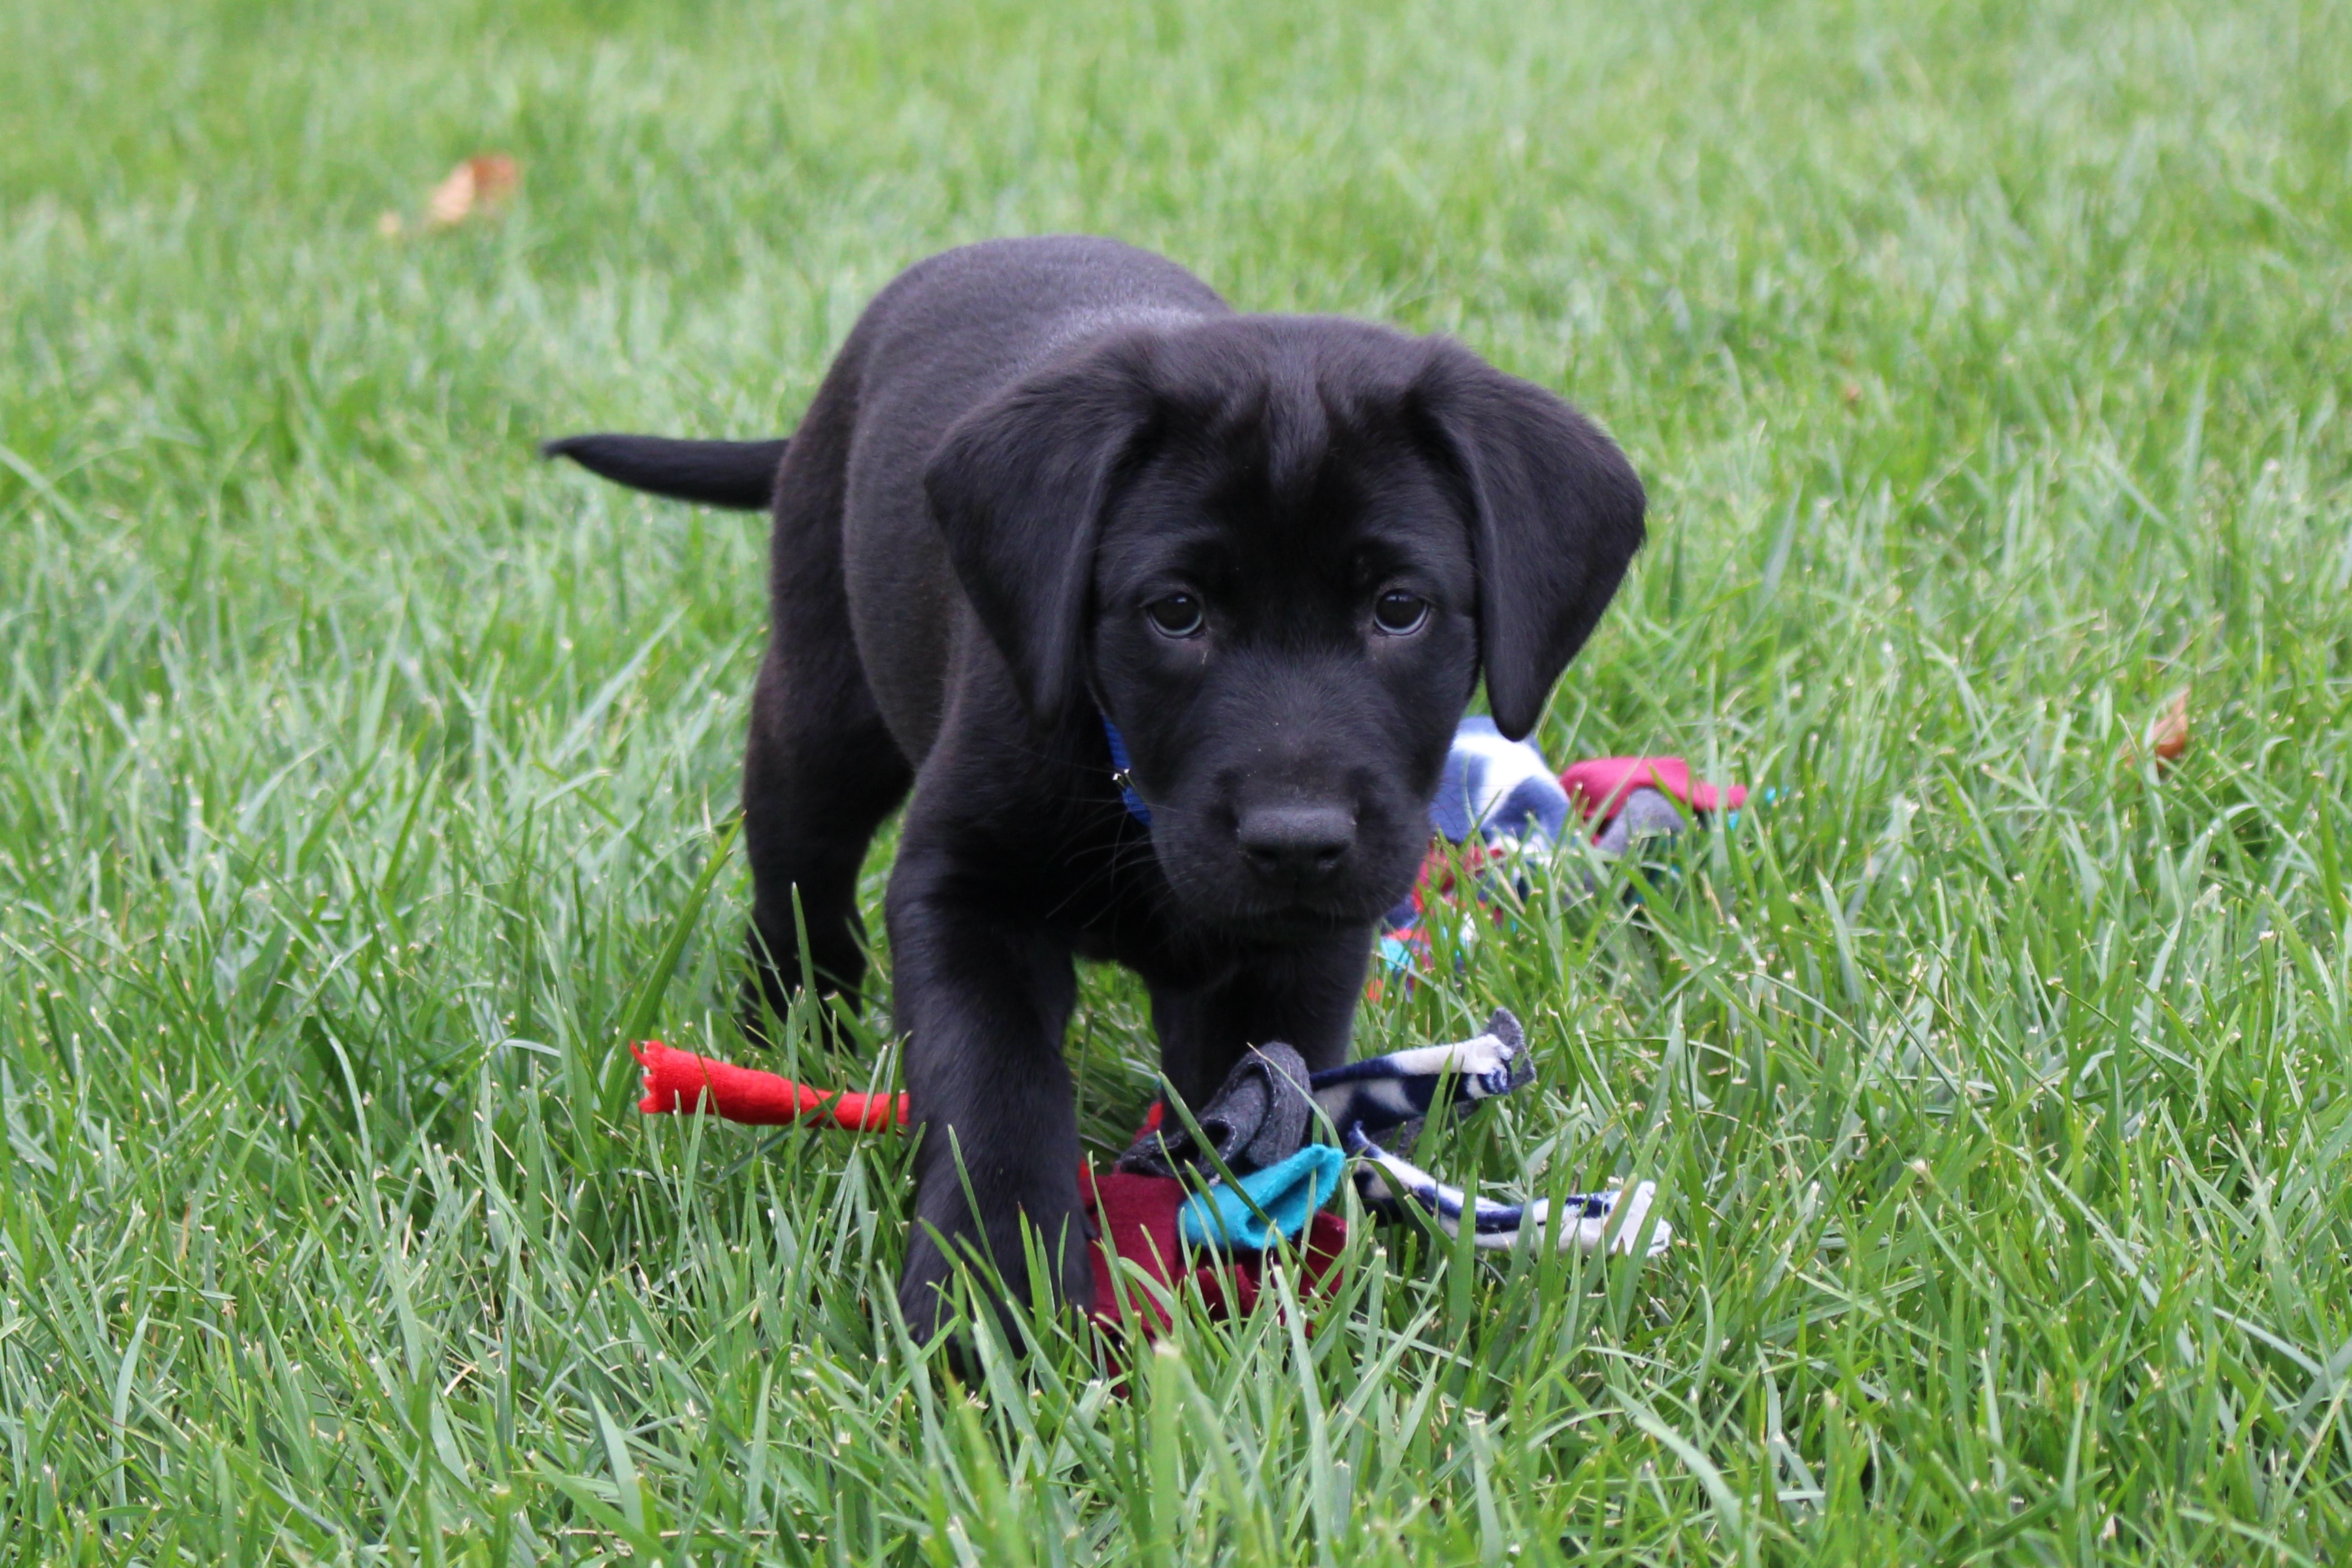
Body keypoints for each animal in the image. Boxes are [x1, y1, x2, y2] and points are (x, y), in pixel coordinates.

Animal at [550, 239, 1646, 1344]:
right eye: (1176, 611)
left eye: (1399, 609)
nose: (1296, 841)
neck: (1127, 798)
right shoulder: (963, 892)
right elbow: (995, 1087)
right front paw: (988, 1292)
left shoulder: (1305, 942)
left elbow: (1266, 1086)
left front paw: (1253, 1254)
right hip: (821, 703)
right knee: (799, 878)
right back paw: (790, 1029)